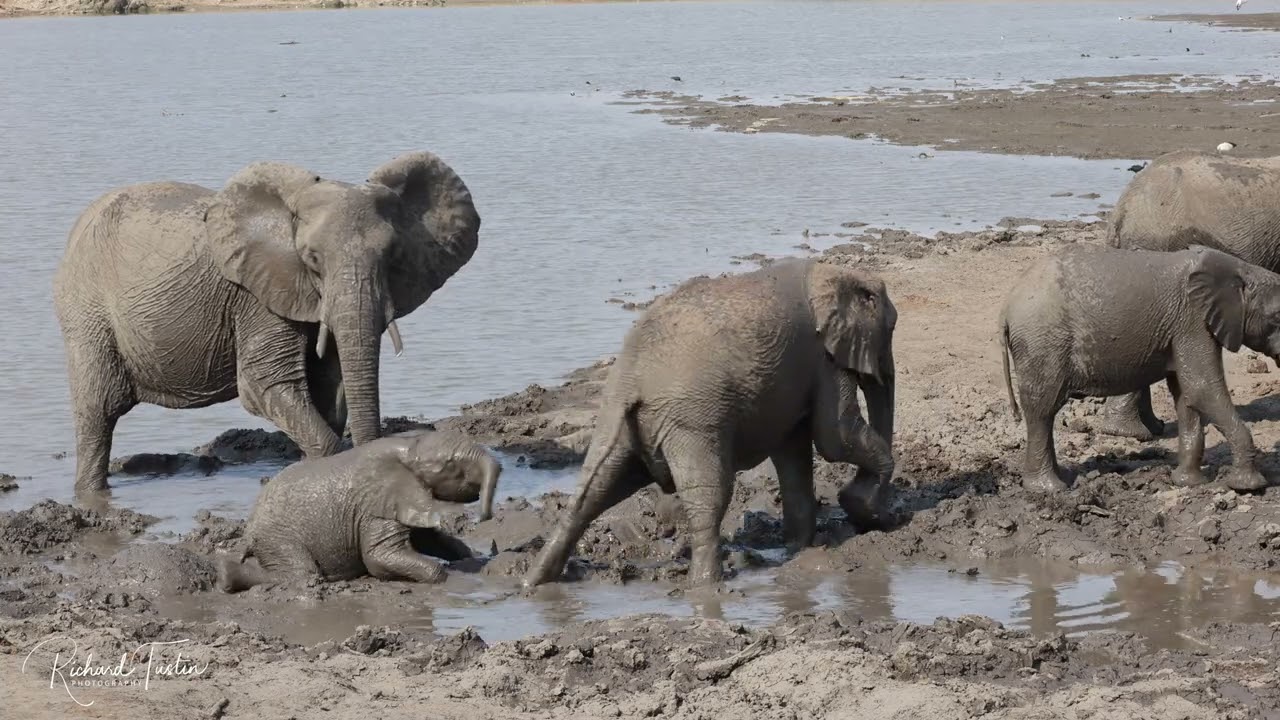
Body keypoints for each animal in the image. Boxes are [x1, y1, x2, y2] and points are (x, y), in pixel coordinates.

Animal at [53, 151, 480, 495]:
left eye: (392, 256)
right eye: (312, 259)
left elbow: (331, 387)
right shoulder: (258, 297)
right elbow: (264, 384)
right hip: (85, 311)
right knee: (98, 411)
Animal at [217, 430, 500, 592]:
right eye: (451, 466)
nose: (484, 517)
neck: (409, 447)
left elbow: (429, 539)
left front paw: (472, 556)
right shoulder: (373, 507)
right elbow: (380, 556)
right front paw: (447, 578)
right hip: (276, 537)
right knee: (302, 574)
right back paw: (225, 577)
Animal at [524, 258, 897, 588]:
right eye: (891, 329)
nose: (878, 517)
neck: (836, 273)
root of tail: (633, 377)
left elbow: (794, 451)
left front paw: (800, 547)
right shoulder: (825, 357)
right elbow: (834, 438)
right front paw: (861, 508)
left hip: (622, 420)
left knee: (592, 492)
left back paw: (534, 582)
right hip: (691, 419)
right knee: (710, 496)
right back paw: (707, 584)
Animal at [999, 244, 1280, 493]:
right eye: (1277, 318)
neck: (1240, 269)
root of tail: (1007, 307)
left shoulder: (1180, 329)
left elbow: (1186, 396)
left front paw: (1188, 483)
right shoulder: (1192, 322)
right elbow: (1201, 389)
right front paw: (1249, 486)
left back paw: (1060, 478)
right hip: (1043, 342)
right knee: (1043, 410)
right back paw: (1049, 488)